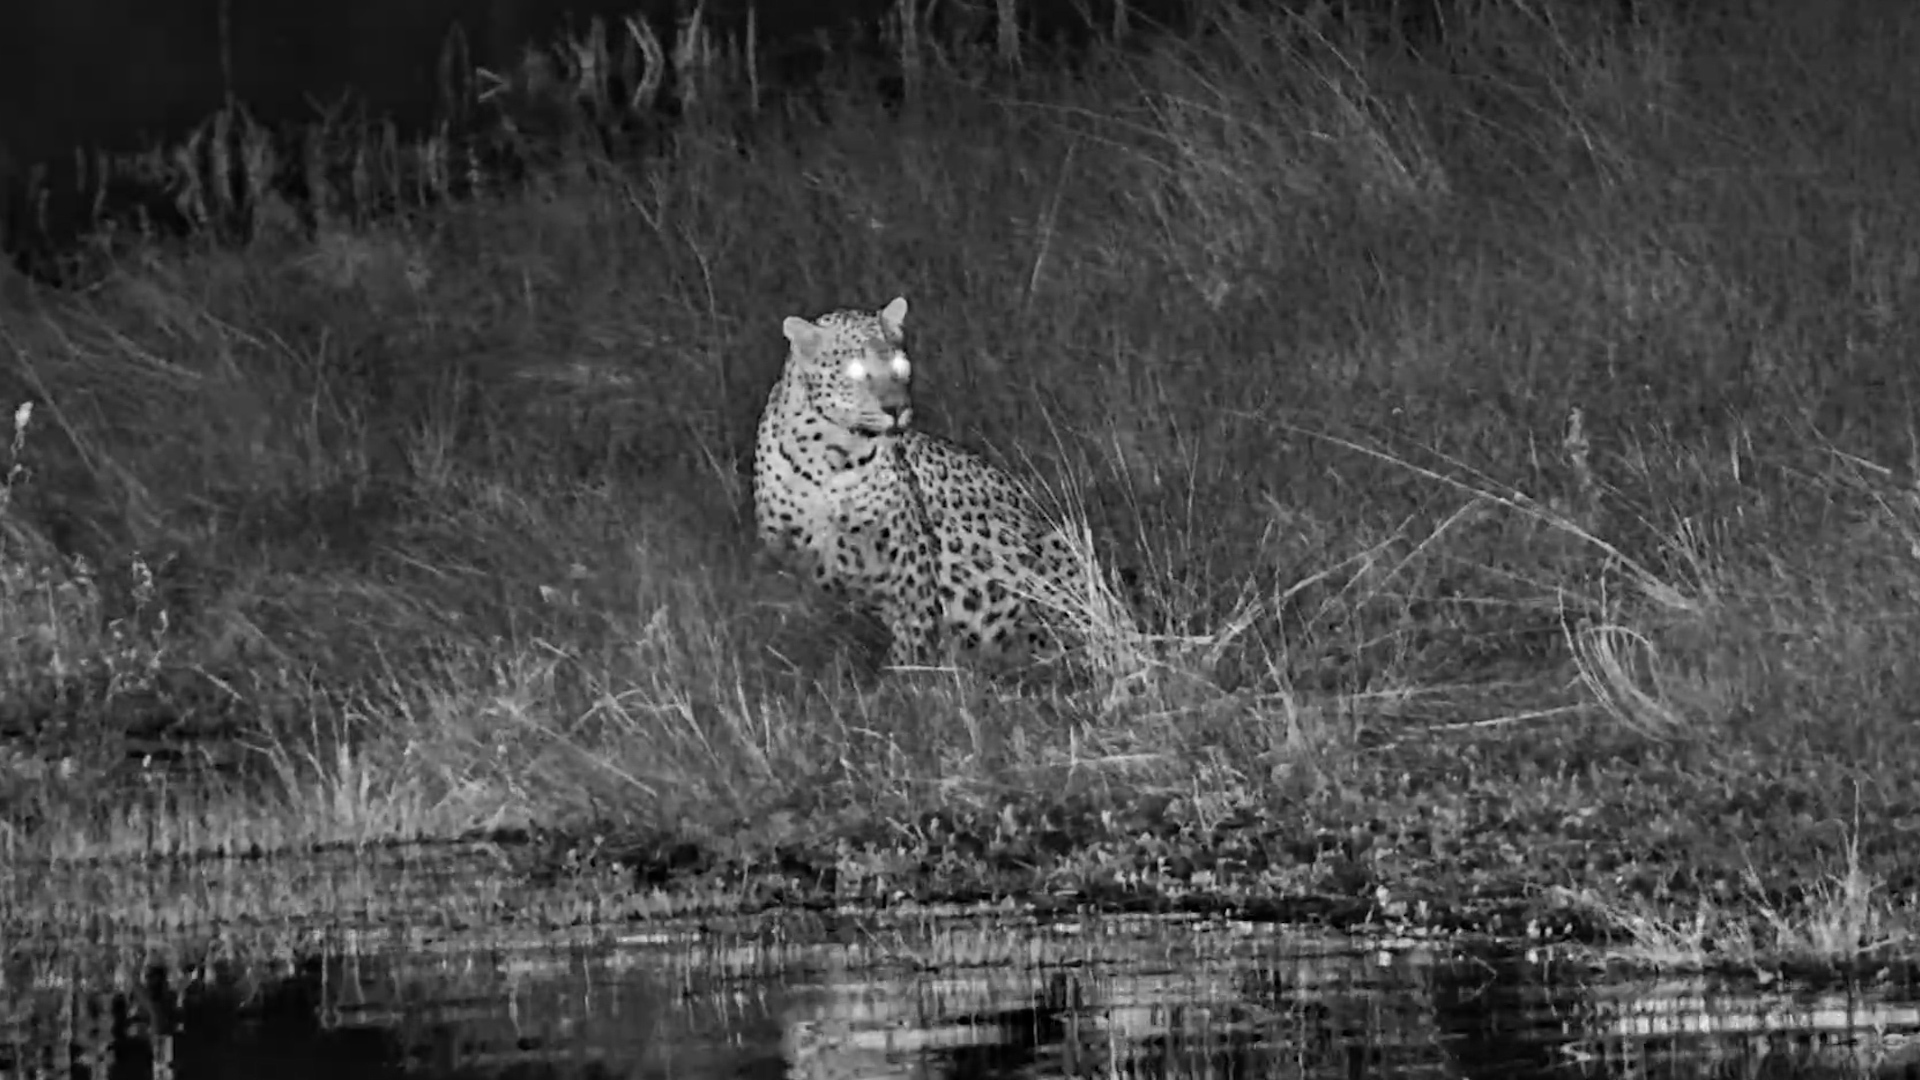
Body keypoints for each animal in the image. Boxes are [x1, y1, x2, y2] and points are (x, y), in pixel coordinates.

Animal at [751, 296, 1086, 669]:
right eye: (855, 371)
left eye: (900, 366)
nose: (897, 409)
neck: (833, 459)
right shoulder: (787, 558)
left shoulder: (910, 575)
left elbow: (910, 649)